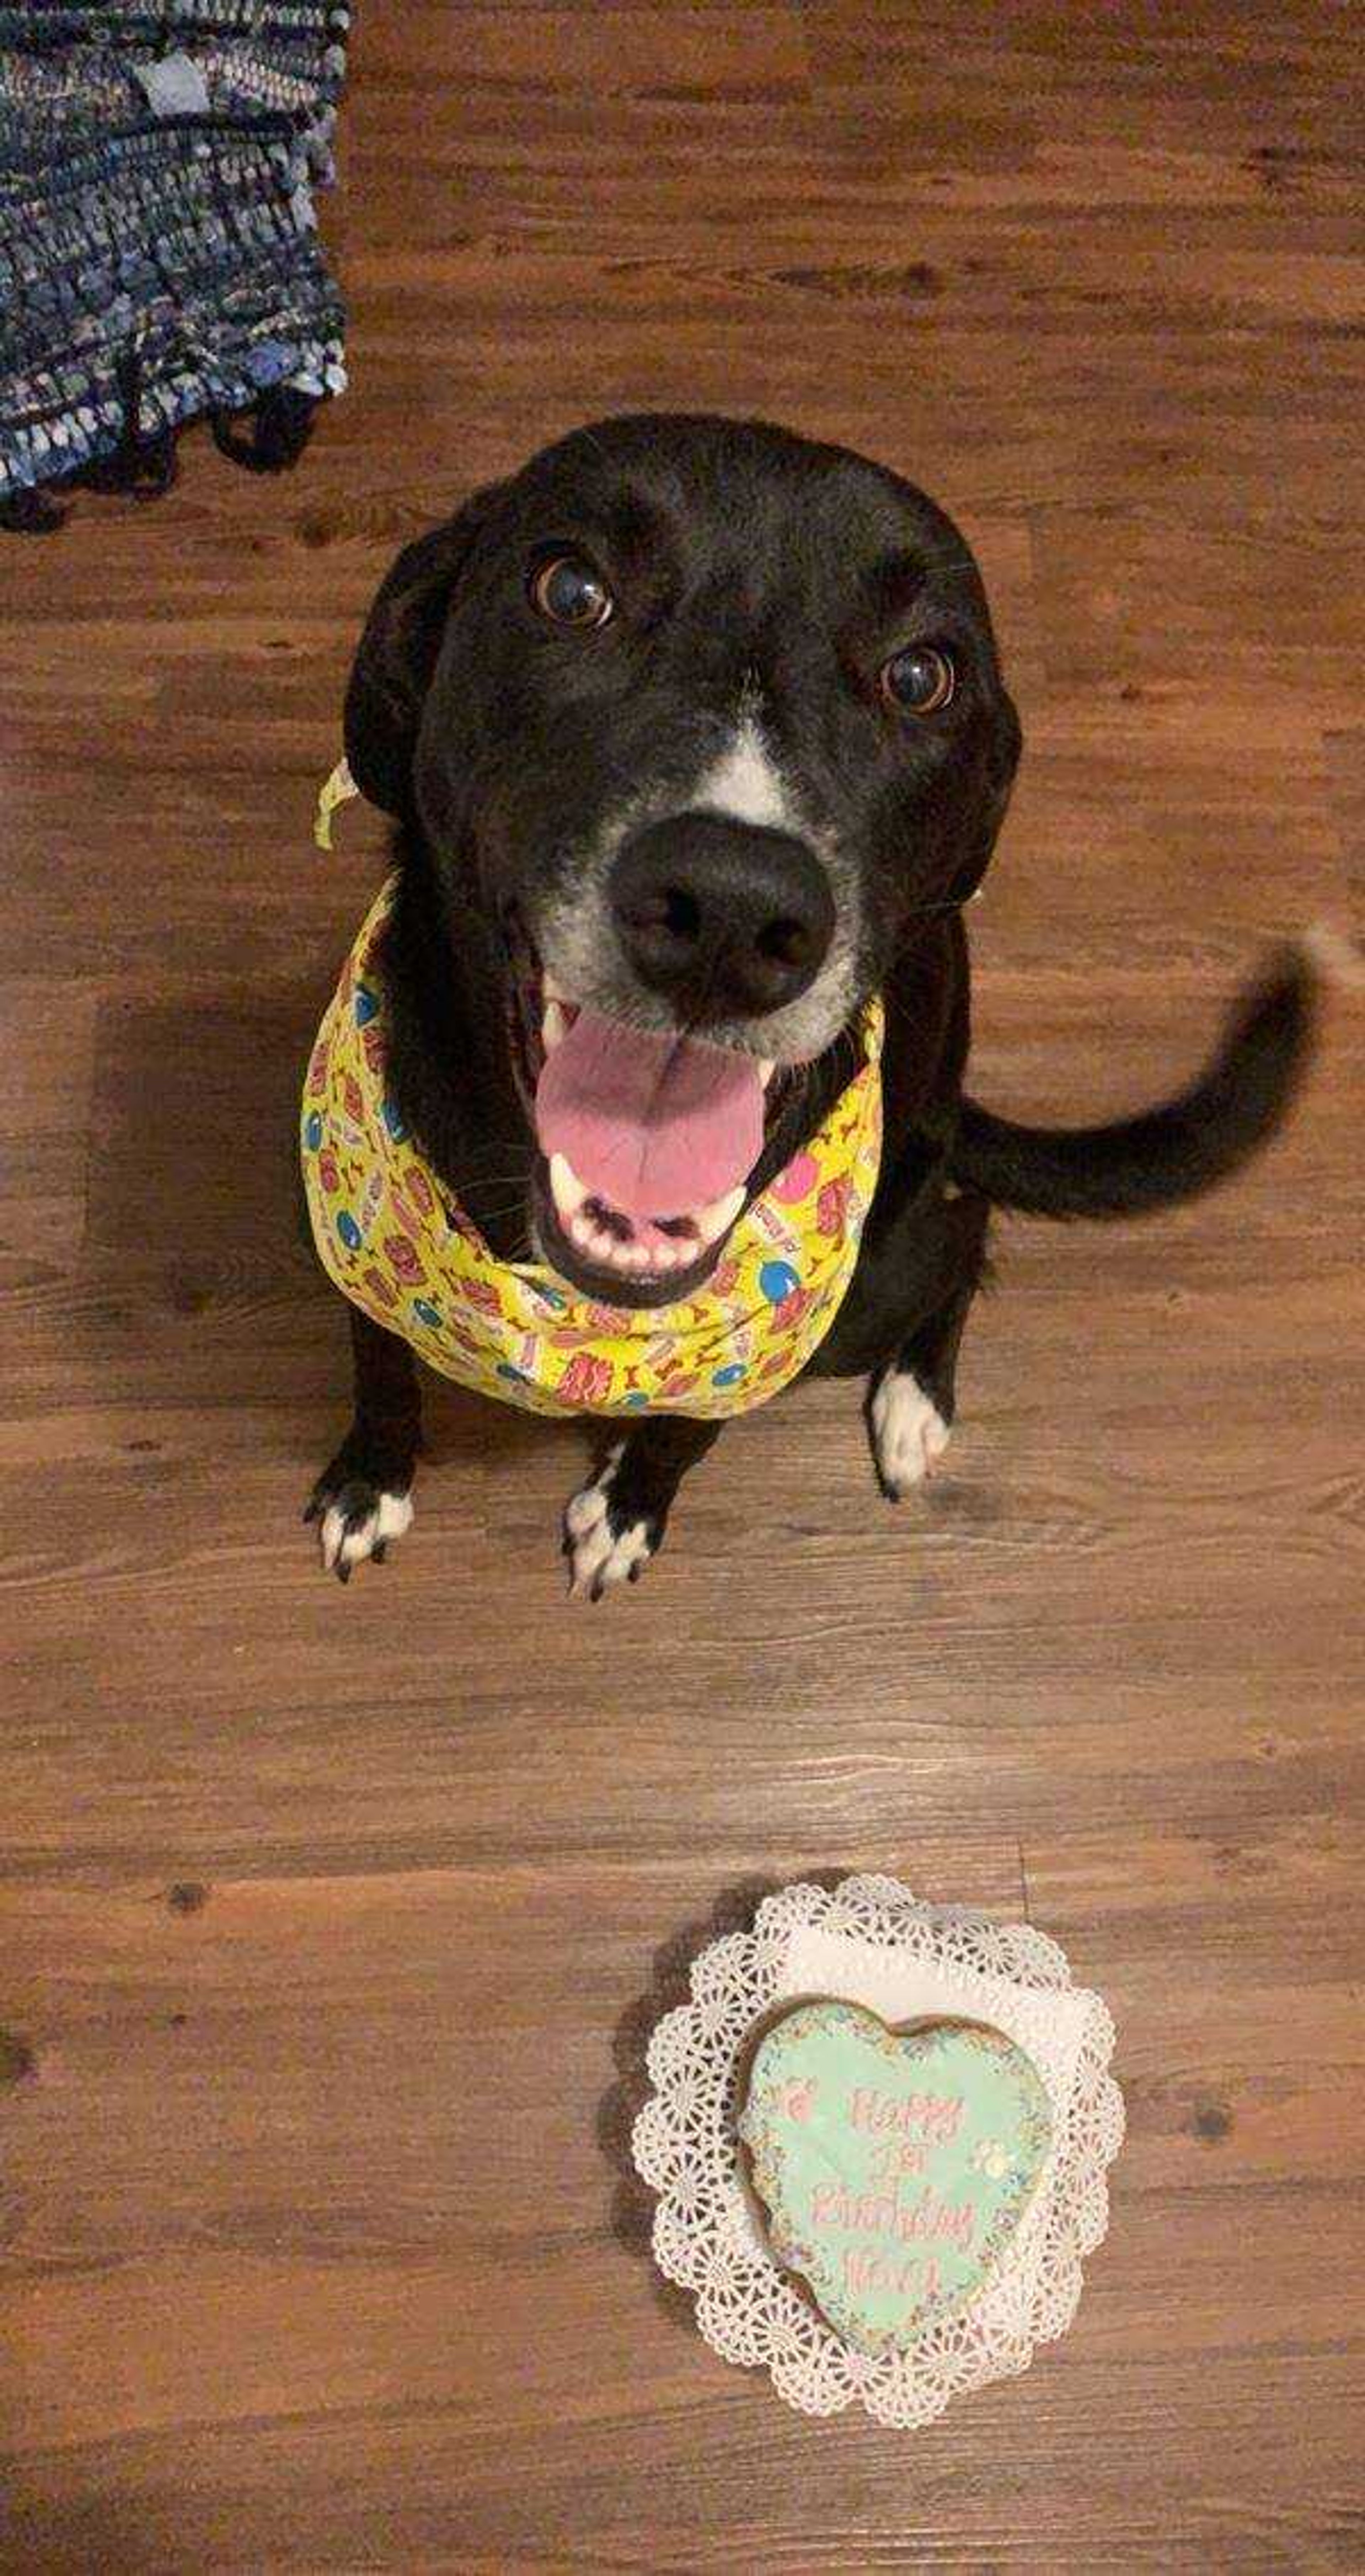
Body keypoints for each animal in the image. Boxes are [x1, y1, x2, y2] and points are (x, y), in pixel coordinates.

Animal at [300, 412, 1308, 1586]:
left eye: (920, 675)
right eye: (570, 590)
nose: (731, 914)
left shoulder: (762, 1350)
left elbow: (683, 1432)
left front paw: (629, 1504)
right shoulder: (355, 1250)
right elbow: (379, 1367)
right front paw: (370, 1484)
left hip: (870, 1288)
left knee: (963, 1233)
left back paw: (916, 1400)